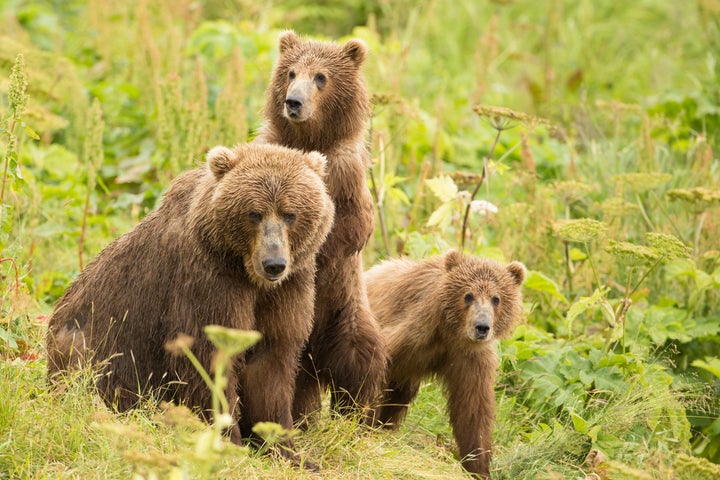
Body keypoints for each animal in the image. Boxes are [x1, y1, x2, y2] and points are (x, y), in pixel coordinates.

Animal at [47, 142, 334, 464]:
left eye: (289, 214)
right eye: (254, 214)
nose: (274, 263)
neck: (246, 274)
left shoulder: (288, 289)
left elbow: (271, 359)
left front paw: (288, 451)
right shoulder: (207, 282)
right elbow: (207, 359)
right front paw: (228, 441)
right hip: (91, 343)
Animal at [256, 30, 386, 422]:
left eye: (321, 77)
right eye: (290, 72)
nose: (294, 102)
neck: (310, 139)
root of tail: (315, 365)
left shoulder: (347, 173)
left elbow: (352, 228)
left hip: (346, 314)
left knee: (361, 361)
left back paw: (355, 414)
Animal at [368, 249, 524, 478]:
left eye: (496, 299)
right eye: (468, 295)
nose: (482, 327)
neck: (451, 334)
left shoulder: (470, 360)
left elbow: (472, 411)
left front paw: (478, 467)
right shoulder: (411, 334)